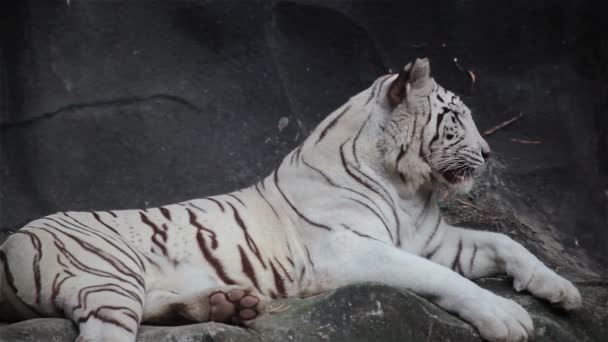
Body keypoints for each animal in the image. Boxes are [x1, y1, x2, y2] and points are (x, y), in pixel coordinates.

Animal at [0, 57, 580, 340]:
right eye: (456, 118)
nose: (487, 152)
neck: (407, 188)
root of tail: (12, 240)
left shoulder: (432, 239)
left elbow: (506, 243)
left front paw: (560, 290)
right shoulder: (349, 250)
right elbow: (444, 278)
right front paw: (507, 317)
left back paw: (227, 304)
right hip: (107, 274)